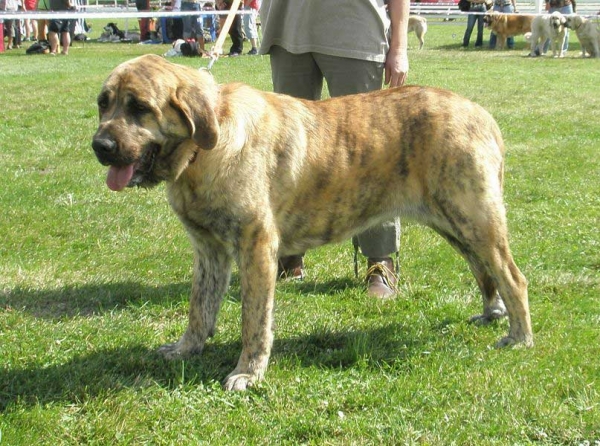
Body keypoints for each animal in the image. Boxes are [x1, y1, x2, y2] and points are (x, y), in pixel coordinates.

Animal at [91, 55, 532, 390]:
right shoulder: (209, 251)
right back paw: (492, 314)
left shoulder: (256, 248)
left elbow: (254, 320)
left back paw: (519, 338)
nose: (100, 145)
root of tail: (482, 114)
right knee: (485, 272)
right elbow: (200, 307)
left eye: (139, 107)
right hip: (456, 225)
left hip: (475, 219)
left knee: (512, 277)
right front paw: (186, 349)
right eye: (103, 103)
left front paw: (247, 373)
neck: (204, 150)